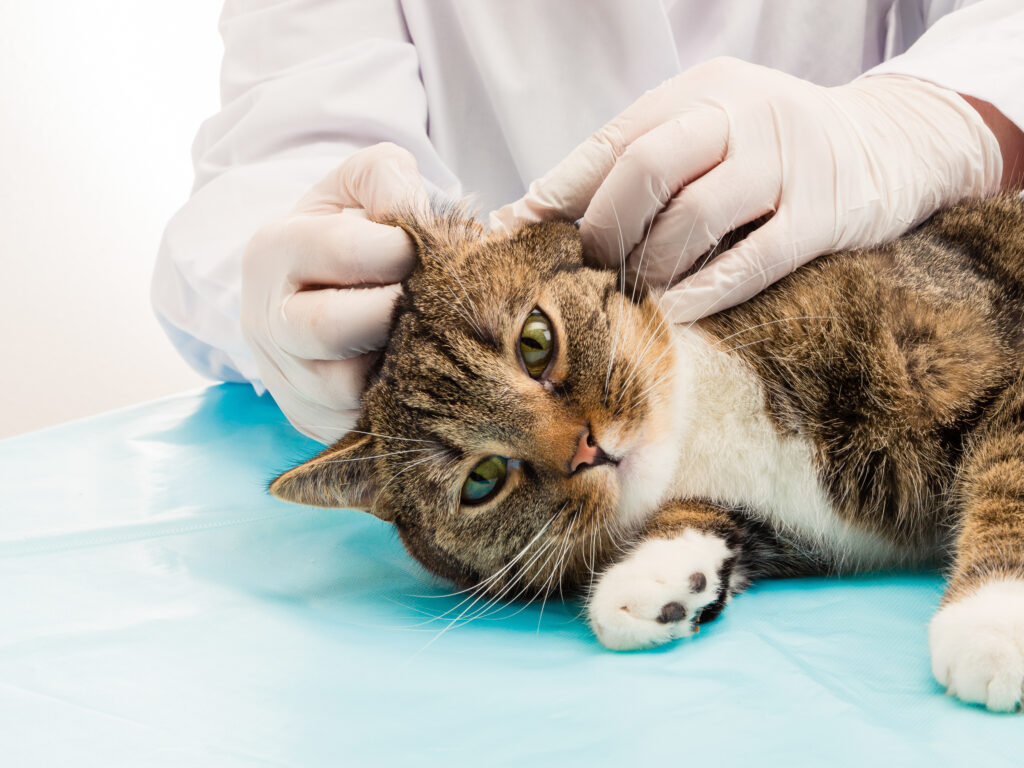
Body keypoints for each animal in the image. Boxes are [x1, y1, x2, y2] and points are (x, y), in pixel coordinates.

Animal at [270, 195, 1024, 712]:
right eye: (482, 480)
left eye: (536, 342)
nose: (588, 450)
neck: (703, 418)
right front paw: (656, 579)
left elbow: (1009, 479)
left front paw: (992, 619)